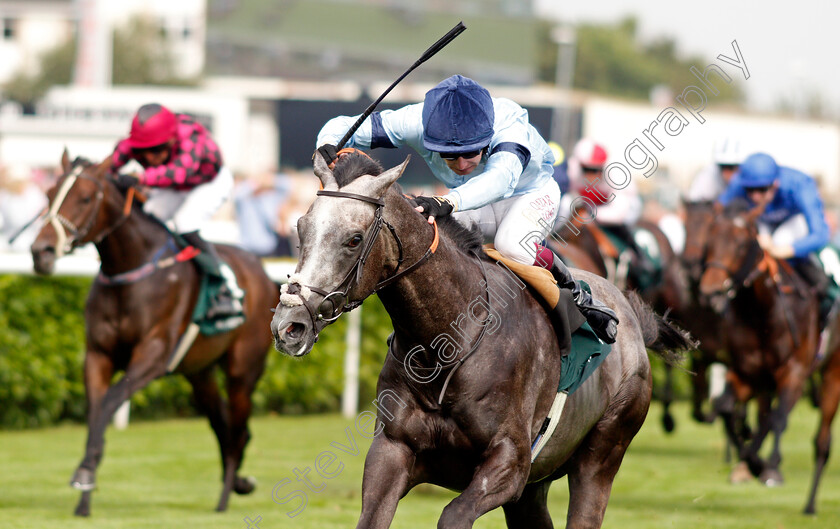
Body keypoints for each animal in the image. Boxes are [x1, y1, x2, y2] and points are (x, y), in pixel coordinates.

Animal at [29, 151, 278, 512]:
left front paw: (86, 472)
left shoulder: (153, 355)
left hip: (243, 370)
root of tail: (264, 273)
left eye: (85, 198)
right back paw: (238, 483)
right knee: (221, 422)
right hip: (199, 371)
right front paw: (84, 495)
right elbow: (96, 410)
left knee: (237, 427)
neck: (131, 271)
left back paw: (225, 497)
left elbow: (110, 401)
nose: (41, 252)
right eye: (49, 194)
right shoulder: (98, 355)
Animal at [270, 151, 688, 524]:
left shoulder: (510, 463)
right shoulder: (391, 451)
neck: (445, 345)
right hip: (534, 488)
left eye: (354, 239)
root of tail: (629, 311)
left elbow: (453, 516)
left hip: (602, 454)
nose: (288, 326)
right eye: (301, 228)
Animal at [696, 199, 820, 486]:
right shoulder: (747, 371)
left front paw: (770, 466)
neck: (764, 314)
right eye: (710, 240)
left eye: (741, 244)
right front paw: (751, 461)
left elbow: (778, 417)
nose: (710, 294)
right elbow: (726, 408)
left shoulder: (793, 371)